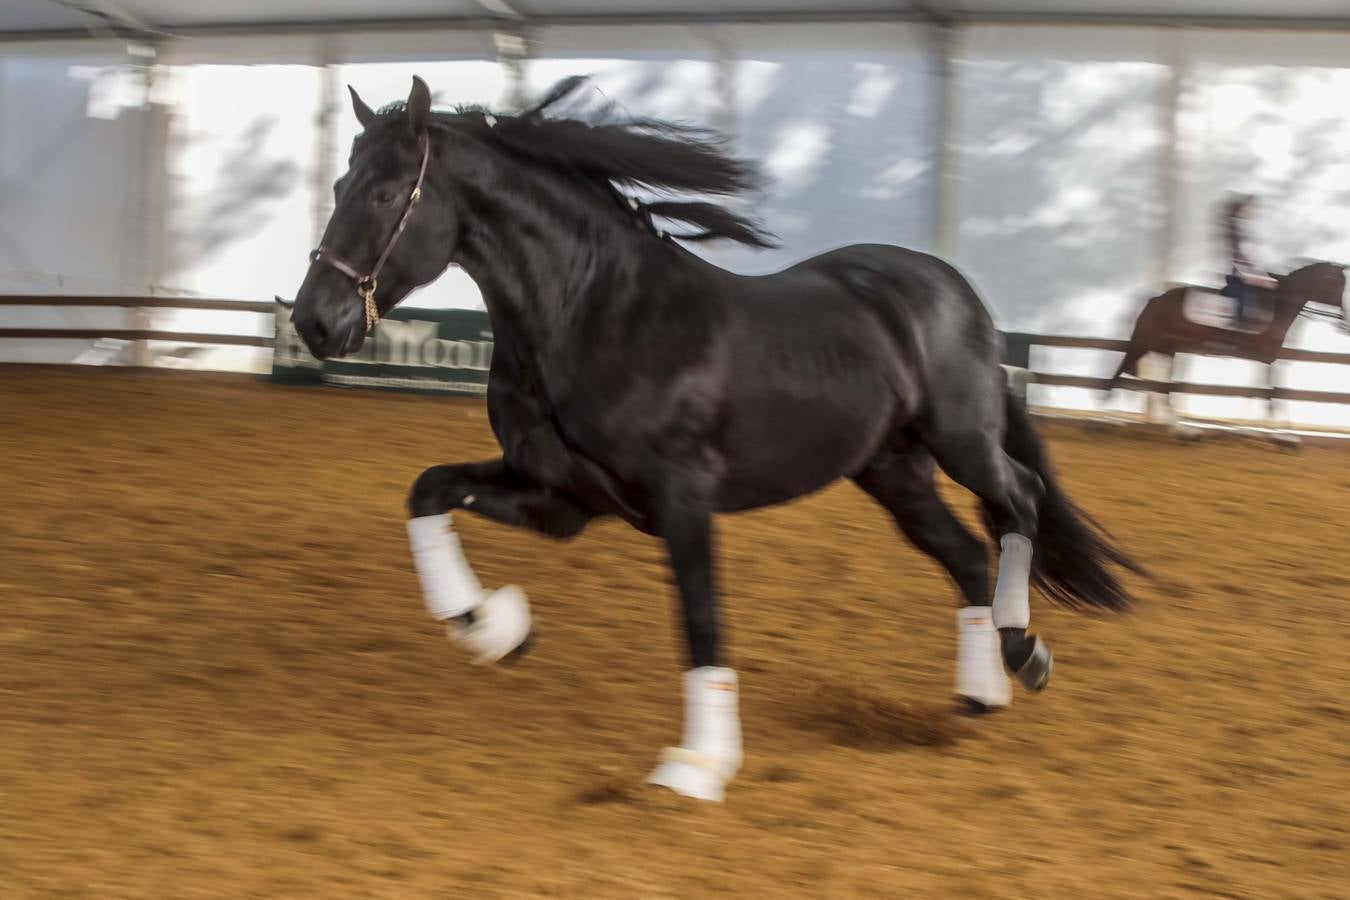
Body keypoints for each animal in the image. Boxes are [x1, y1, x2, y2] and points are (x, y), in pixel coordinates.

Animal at [290, 77, 1144, 804]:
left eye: (387, 192)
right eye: (337, 187)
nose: (313, 321)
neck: (596, 314)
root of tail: (953, 288)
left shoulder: (681, 501)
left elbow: (700, 619)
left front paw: (696, 766)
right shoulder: (559, 497)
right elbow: (427, 489)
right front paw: (492, 627)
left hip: (960, 439)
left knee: (1019, 501)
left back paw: (1022, 650)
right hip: (891, 473)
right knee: (966, 554)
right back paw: (981, 689)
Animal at [1112, 261, 1344, 420]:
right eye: (1337, 285)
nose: (1342, 320)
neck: (1278, 304)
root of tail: (1156, 299)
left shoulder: (1264, 358)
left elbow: (1259, 392)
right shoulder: (1267, 356)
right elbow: (1271, 395)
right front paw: (1282, 436)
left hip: (1166, 347)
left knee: (1154, 381)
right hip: (1159, 344)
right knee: (1146, 378)